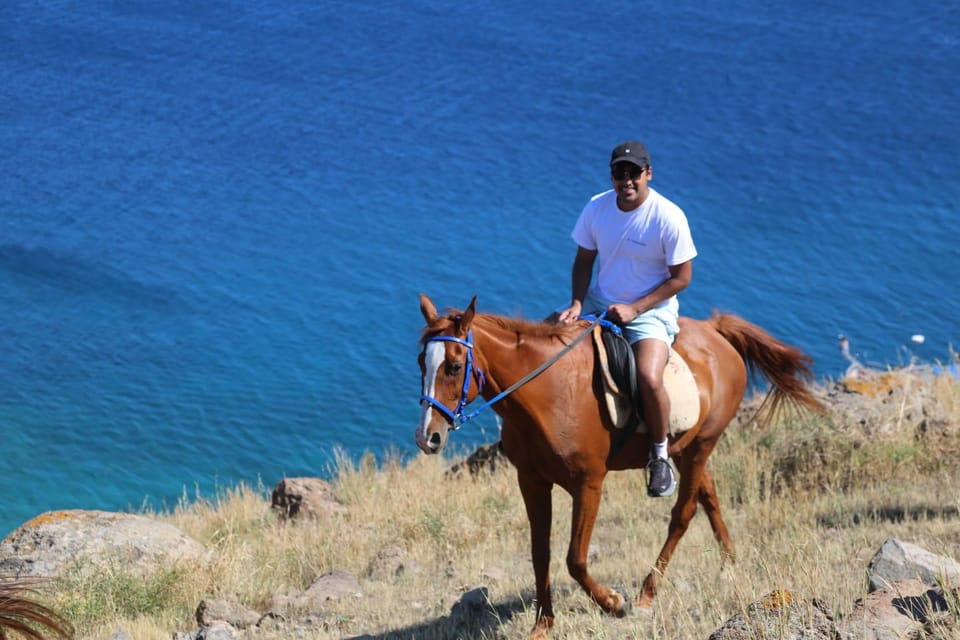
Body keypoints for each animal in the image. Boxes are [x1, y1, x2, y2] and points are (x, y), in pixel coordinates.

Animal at [416, 294, 820, 636]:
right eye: (422, 363)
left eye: (454, 366)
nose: (427, 437)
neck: (550, 393)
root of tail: (715, 331)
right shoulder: (531, 481)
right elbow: (540, 554)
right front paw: (544, 624)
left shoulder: (589, 483)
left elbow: (575, 559)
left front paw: (612, 603)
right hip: (686, 448)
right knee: (708, 493)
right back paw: (729, 565)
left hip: (700, 446)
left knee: (683, 513)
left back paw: (647, 592)